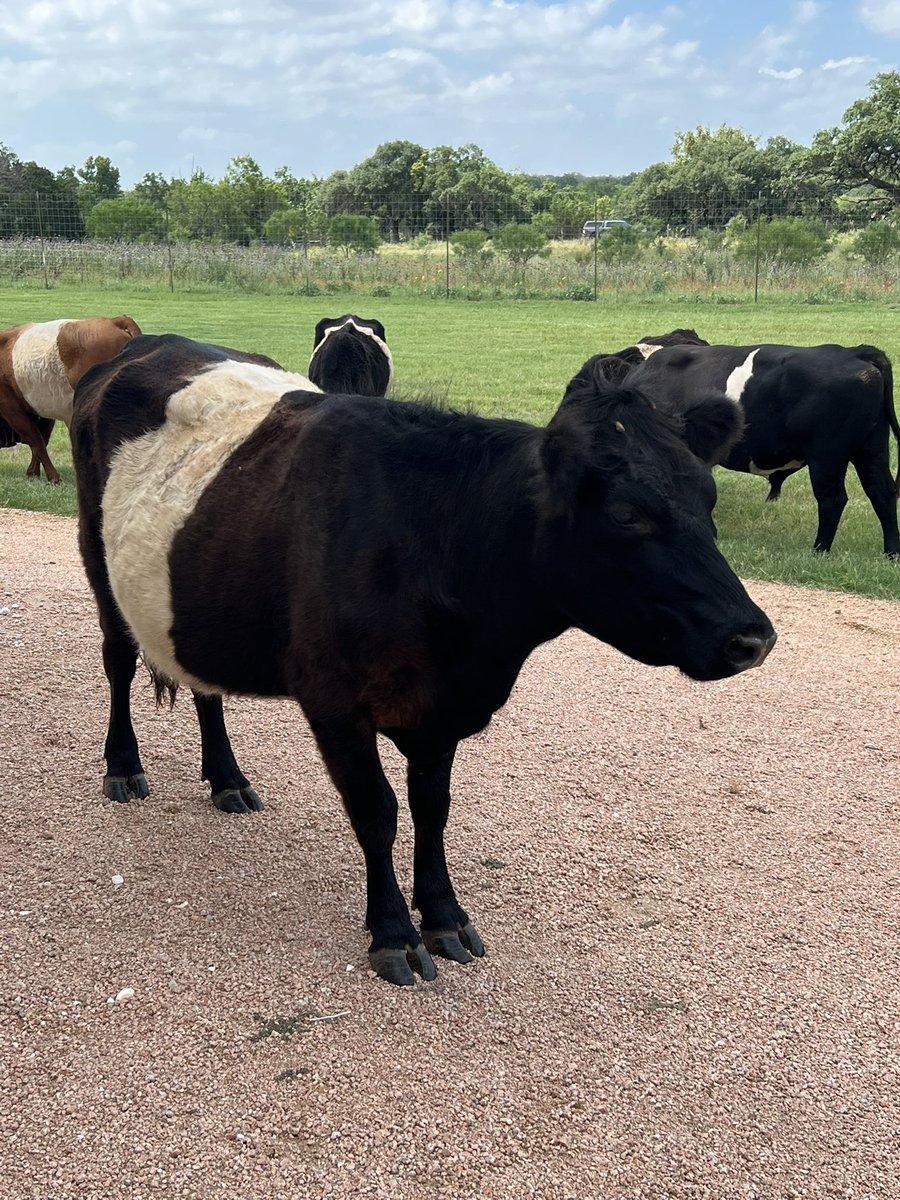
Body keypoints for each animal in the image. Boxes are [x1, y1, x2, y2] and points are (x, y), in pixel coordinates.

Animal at [0, 315, 141, 483]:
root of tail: (115, 320)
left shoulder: (10, 407)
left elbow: (35, 439)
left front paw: (53, 477)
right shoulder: (44, 408)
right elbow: (41, 440)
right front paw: (34, 472)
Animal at [71, 334, 775, 986]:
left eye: (708, 499)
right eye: (627, 514)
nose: (753, 638)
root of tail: (145, 345)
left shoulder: (442, 709)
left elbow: (432, 811)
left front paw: (444, 918)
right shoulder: (334, 700)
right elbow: (377, 812)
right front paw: (393, 933)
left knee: (203, 685)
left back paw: (227, 779)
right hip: (99, 563)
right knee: (118, 660)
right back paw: (124, 766)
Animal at [627, 342, 900, 556]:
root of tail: (853, 352)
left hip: (827, 455)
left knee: (833, 499)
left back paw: (820, 550)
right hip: (872, 447)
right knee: (881, 492)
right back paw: (891, 553)